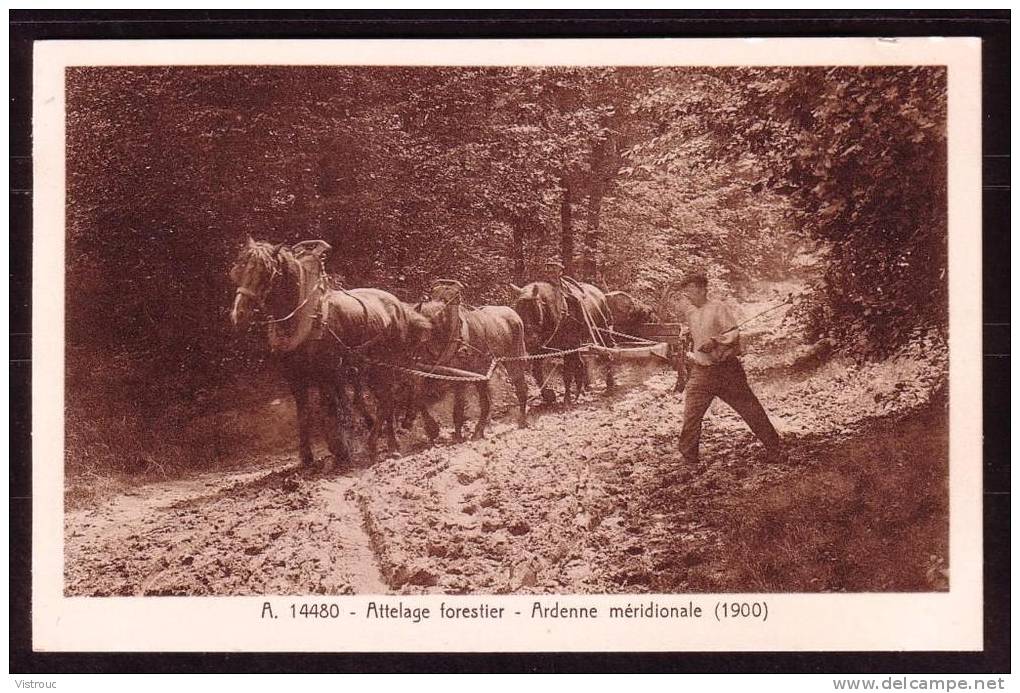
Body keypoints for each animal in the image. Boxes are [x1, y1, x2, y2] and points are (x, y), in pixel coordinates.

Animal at [229, 238, 428, 471]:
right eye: (238, 270)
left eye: (265, 272)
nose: (239, 314)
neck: (304, 318)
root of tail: (398, 305)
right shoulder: (295, 379)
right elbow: (304, 414)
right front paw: (306, 457)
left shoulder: (327, 375)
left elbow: (332, 411)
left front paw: (341, 451)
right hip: (369, 368)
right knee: (382, 400)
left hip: (387, 363)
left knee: (389, 398)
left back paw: (390, 445)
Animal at [410, 283, 530, 438]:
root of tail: (513, 313)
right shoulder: (430, 373)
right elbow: (418, 399)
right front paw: (432, 429)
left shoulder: (460, 377)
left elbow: (458, 407)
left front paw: (457, 434)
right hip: (482, 371)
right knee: (486, 401)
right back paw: (482, 428)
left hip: (513, 361)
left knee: (520, 389)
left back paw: (521, 421)